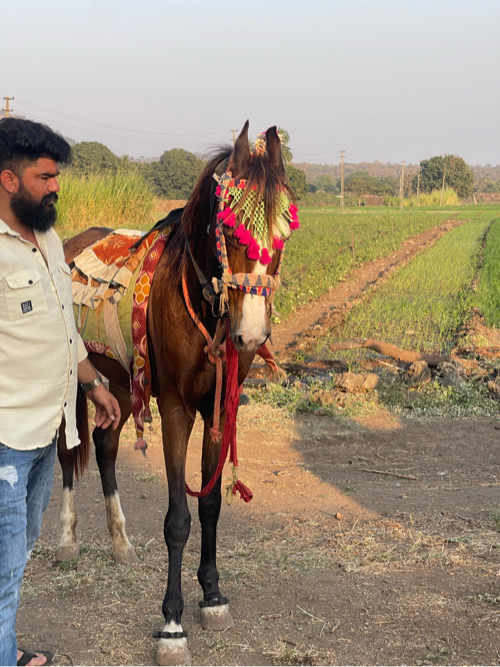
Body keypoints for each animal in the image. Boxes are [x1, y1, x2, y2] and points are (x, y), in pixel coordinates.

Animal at [55, 122, 296, 664]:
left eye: (283, 235)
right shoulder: (176, 411)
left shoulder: (218, 411)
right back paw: (67, 540)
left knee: (104, 447)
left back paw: (120, 543)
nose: (251, 336)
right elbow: (178, 520)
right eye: (230, 232)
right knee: (64, 455)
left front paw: (212, 596)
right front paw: (171, 623)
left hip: (120, 385)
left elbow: (209, 506)